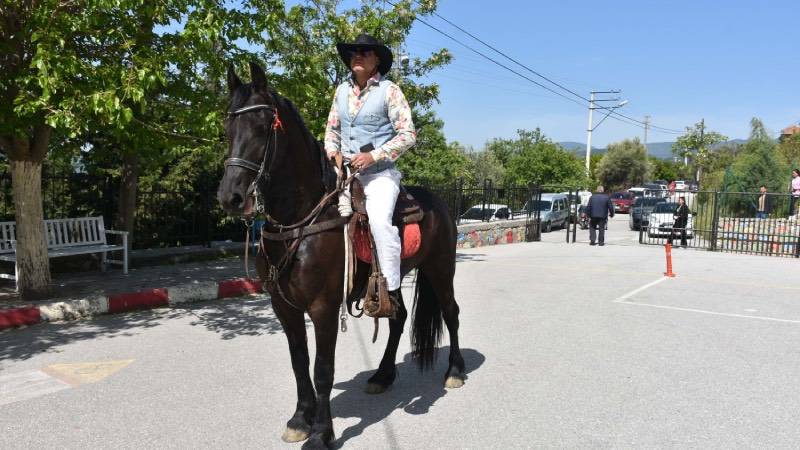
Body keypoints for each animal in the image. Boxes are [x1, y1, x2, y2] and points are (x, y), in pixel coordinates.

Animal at [219, 62, 466, 446]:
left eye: (261, 127)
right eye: (228, 127)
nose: (231, 197)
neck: (300, 222)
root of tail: (438, 202)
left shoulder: (323, 307)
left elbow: (322, 368)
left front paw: (321, 432)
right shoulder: (284, 307)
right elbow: (299, 363)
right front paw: (300, 419)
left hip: (441, 269)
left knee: (451, 313)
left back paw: (454, 370)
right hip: (395, 278)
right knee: (398, 318)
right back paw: (382, 375)